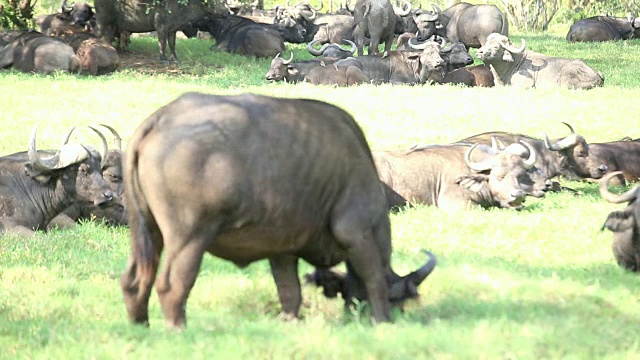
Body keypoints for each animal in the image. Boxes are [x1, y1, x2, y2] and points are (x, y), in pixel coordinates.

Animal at [120, 91, 438, 328]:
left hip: (144, 230)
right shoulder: (357, 233)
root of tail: (160, 120)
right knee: (172, 284)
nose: (401, 316)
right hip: (189, 237)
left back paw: (141, 326)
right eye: (401, 301)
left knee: (135, 280)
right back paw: (178, 329)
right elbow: (374, 279)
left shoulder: (282, 251)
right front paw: (382, 320)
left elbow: (290, 291)